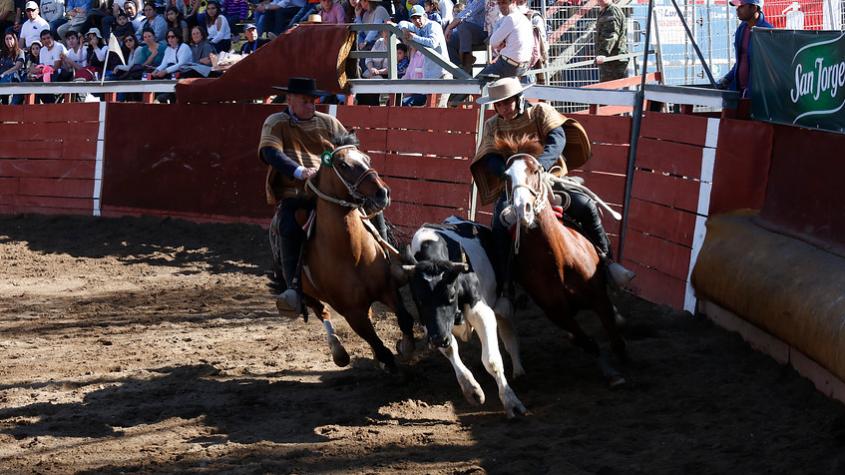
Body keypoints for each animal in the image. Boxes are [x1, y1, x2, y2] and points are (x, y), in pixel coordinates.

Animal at [296, 134, 416, 376]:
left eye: (367, 158)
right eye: (343, 165)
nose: (383, 193)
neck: (352, 254)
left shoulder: (387, 289)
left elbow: (405, 320)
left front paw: (406, 347)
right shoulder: (352, 312)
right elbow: (380, 347)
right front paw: (389, 363)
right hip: (308, 294)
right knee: (322, 313)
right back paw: (338, 352)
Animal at [402, 218, 528, 418]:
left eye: (451, 295)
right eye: (419, 299)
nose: (437, 340)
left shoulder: (481, 311)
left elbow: (492, 360)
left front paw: (510, 401)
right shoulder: (431, 326)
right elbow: (451, 350)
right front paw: (471, 389)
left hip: (504, 302)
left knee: (509, 335)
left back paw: (518, 371)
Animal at [494, 134, 628, 386]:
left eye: (535, 170)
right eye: (507, 176)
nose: (522, 209)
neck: (557, 261)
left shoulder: (599, 297)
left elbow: (614, 335)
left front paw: (622, 361)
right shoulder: (557, 313)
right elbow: (588, 342)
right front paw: (612, 372)